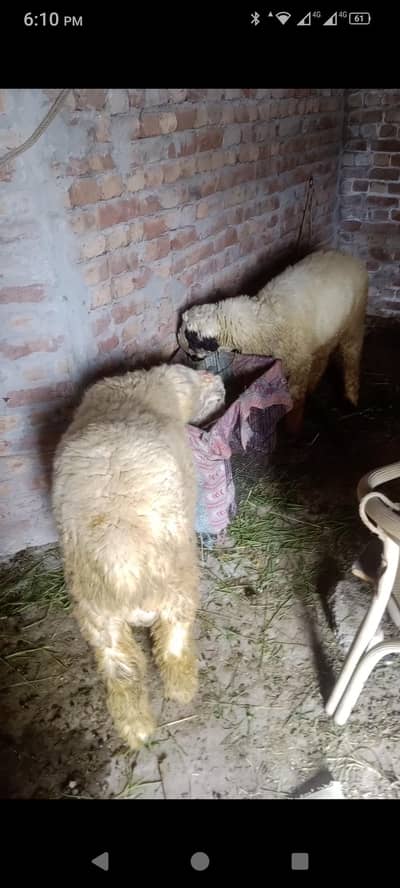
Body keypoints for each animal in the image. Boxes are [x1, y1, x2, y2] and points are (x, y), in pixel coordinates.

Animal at [52, 364, 225, 750]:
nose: (221, 384)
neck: (141, 388)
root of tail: (124, 569)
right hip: (178, 588)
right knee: (172, 646)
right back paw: (182, 689)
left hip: (97, 615)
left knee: (122, 672)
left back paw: (136, 728)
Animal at [177, 250, 368, 436]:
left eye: (190, 339)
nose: (190, 358)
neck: (264, 321)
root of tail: (347, 256)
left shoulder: (299, 364)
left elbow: (295, 397)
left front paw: (292, 430)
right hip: (327, 332)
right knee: (323, 358)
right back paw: (313, 387)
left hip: (354, 323)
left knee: (352, 357)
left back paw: (351, 397)